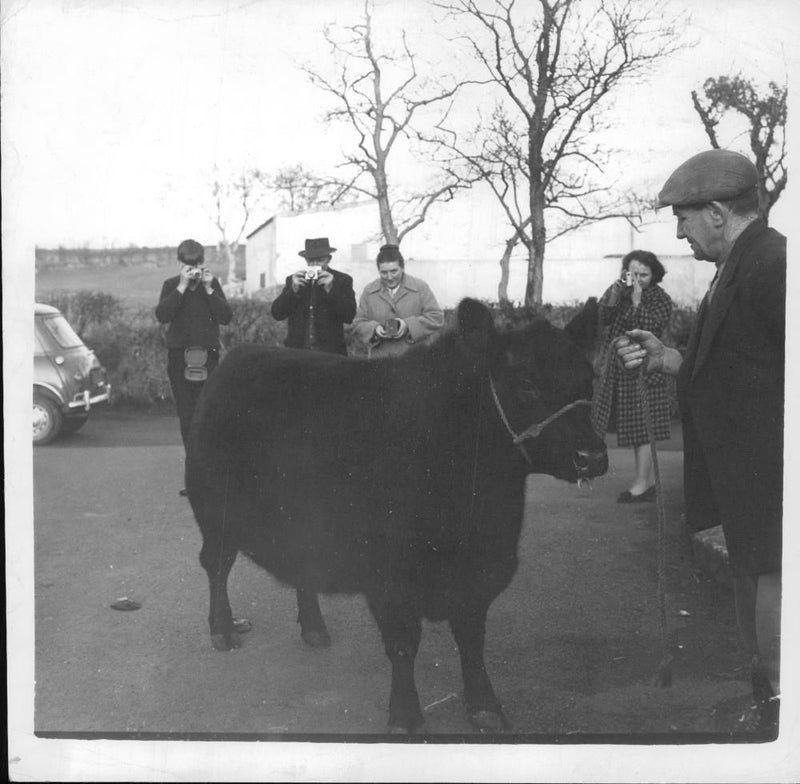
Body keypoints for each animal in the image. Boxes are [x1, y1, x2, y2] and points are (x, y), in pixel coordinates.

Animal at [186, 298, 608, 732]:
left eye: (588, 381)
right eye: (526, 383)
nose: (591, 456)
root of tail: (239, 355)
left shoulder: (480, 575)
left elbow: (472, 640)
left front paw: (485, 704)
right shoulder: (390, 578)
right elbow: (404, 645)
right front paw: (405, 714)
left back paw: (314, 628)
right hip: (214, 514)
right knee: (216, 567)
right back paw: (222, 630)